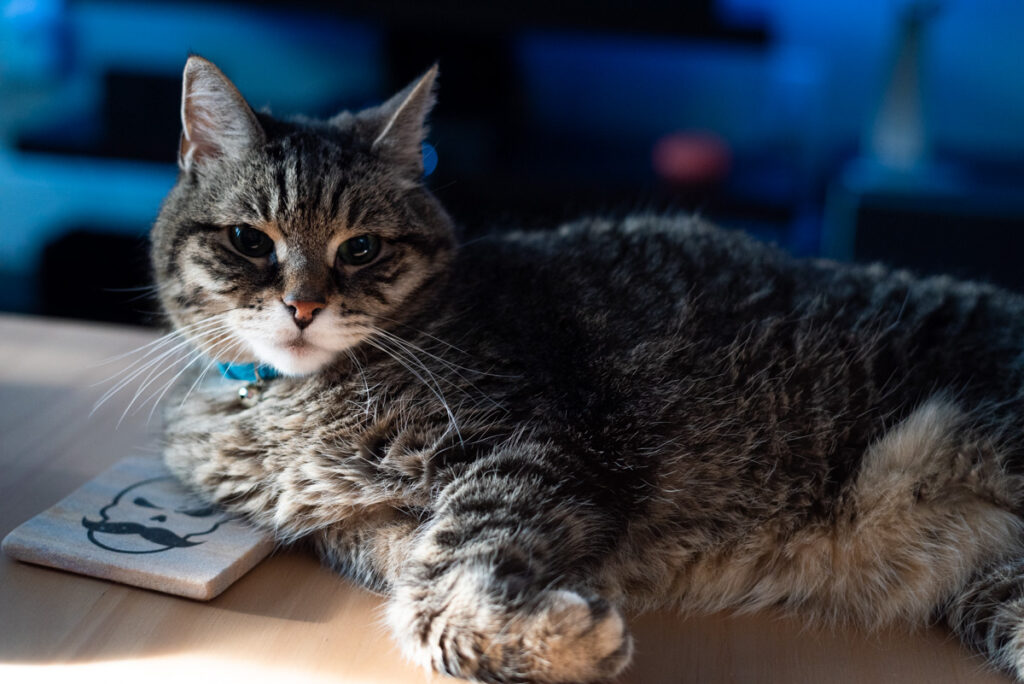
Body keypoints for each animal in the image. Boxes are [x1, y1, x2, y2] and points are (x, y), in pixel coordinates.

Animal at [146, 56, 1024, 679]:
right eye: (249, 240)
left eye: (360, 248)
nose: (302, 305)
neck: (287, 403)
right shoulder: (352, 531)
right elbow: (413, 568)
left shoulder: (527, 444)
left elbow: (461, 544)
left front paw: (517, 637)